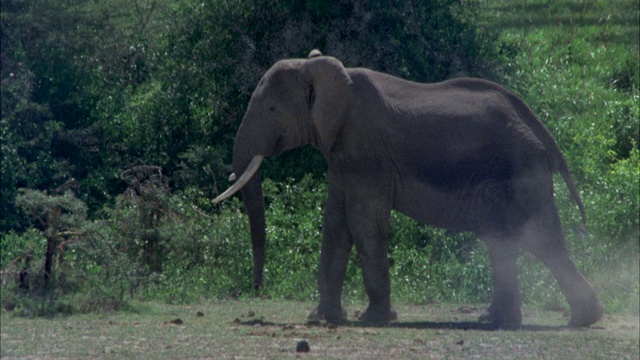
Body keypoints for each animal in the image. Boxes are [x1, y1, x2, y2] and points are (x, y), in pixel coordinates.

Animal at [215, 50, 604, 330]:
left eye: (271, 108)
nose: (257, 291)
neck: (319, 68)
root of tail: (540, 130)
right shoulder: (343, 155)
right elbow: (336, 224)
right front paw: (323, 318)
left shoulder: (366, 152)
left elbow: (363, 222)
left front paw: (373, 320)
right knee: (501, 242)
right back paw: (498, 321)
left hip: (521, 172)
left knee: (541, 240)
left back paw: (582, 320)